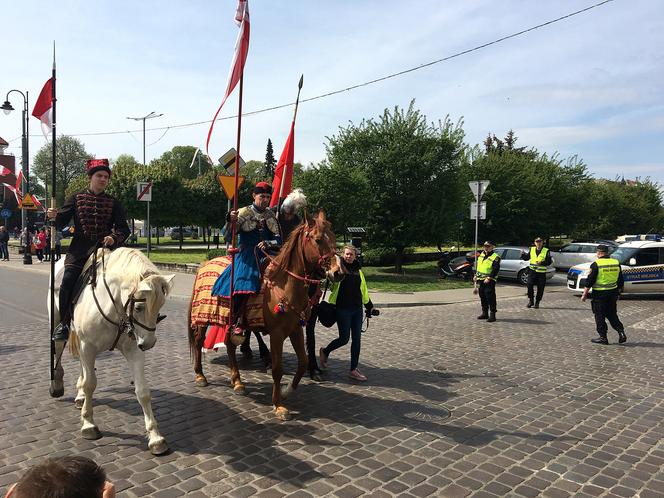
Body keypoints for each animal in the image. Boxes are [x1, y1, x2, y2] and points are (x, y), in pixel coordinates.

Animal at [48, 246, 175, 456]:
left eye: (160, 307)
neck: (115, 308)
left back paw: (80, 396)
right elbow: (91, 384)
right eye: (139, 307)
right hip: (59, 323)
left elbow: (142, 391)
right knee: (59, 348)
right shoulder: (88, 346)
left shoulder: (133, 349)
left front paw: (155, 437)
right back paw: (57, 383)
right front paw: (88, 424)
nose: (149, 343)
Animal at [189, 210, 340, 420]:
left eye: (333, 237)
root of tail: (204, 265)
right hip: (203, 317)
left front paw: (286, 391)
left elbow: (303, 362)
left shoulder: (296, 330)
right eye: (317, 240)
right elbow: (277, 368)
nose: (338, 272)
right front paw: (278, 405)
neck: (284, 284)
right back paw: (200, 375)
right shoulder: (277, 334)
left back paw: (238, 382)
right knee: (198, 341)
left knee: (229, 345)